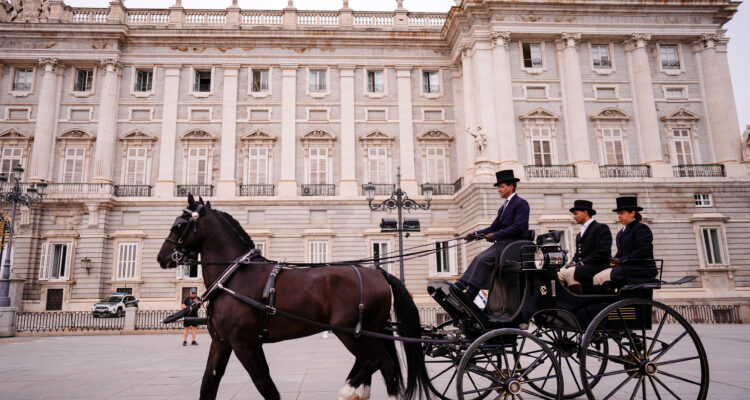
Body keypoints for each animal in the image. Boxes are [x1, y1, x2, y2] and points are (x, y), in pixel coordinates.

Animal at [156, 195, 431, 400]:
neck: (234, 274)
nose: (162, 257)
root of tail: (378, 271)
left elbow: (265, 386)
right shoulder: (222, 343)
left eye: (179, 225)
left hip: (350, 332)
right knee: (382, 366)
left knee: (375, 361)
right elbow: (208, 385)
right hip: (368, 333)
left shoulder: (244, 345)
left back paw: (348, 390)